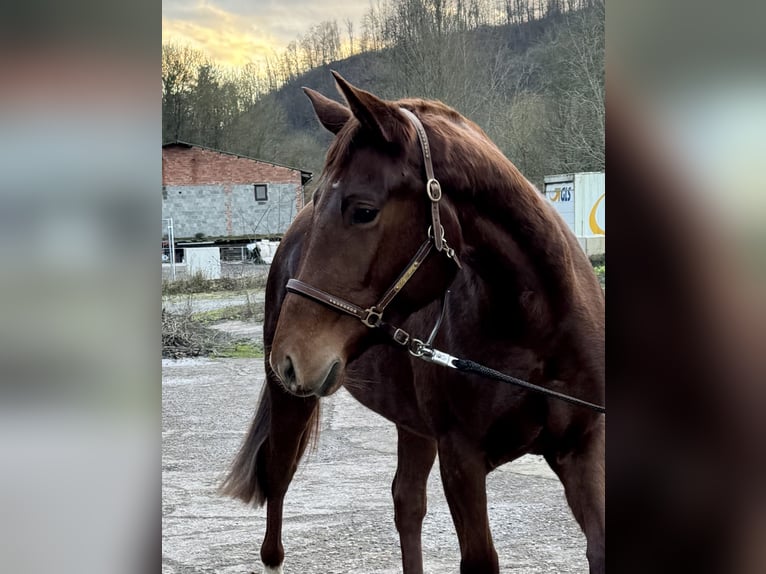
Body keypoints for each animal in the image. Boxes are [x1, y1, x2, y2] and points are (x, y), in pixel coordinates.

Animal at [222, 73, 608, 574]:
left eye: (363, 210)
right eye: (320, 196)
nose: (291, 356)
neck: (537, 327)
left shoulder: (583, 447)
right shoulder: (462, 459)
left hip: (411, 425)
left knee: (406, 502)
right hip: (293, 404)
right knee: (278, 484)